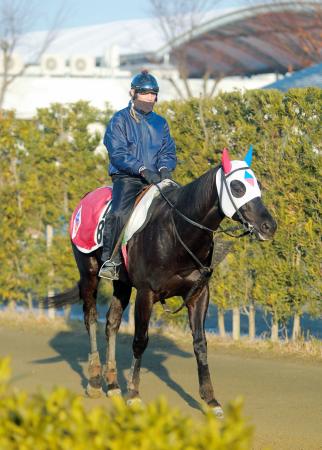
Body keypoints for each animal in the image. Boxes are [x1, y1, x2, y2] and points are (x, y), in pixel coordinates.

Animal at [44, 149, 276, 418]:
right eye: (237, 187)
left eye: (257, 185)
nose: (269, 226)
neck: (177, 233)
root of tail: (84, 200)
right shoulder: (146, 294)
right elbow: (140, 341)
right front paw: (134, 394)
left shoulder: (198, 294)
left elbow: (200, 344)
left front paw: (211, 400)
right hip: (89, 272)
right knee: (90, 318)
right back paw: (93, 382)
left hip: (121, 284)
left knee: (111, 323)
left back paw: (112, 385)